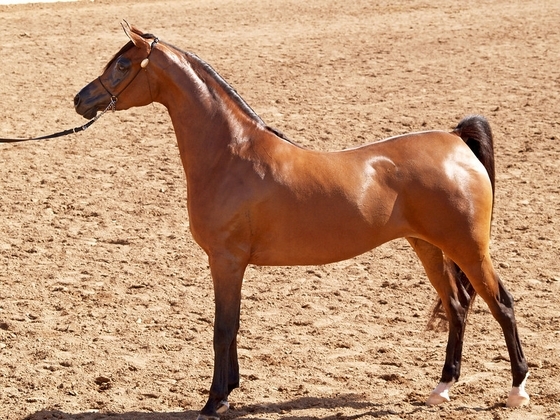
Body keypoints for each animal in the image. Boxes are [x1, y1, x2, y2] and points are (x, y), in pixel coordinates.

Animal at [73, 23, 528, 420]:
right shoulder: (231, 265)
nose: (80, 99)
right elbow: (233, 327)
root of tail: (455, 141)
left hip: (468, 248)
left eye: (122, 65)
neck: (230, 155)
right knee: (457, 306)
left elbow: (223, 329)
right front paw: (229, 392)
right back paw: (441, 388)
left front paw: (213, 402)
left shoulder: (226, 261)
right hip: (430, 247)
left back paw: (516, 391)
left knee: (501, 305)